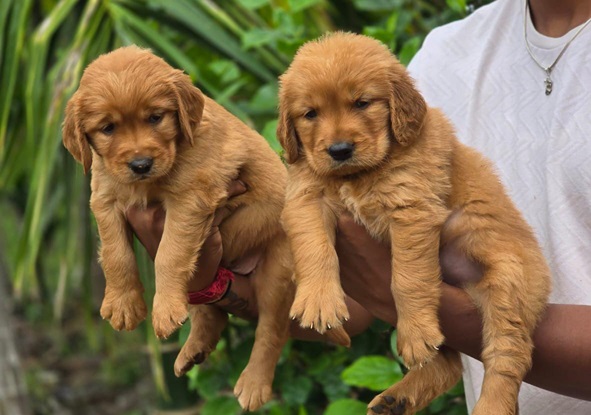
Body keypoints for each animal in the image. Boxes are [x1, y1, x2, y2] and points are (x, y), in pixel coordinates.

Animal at [63, 46, 352, 412]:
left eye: (155, 118)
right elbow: (116, 253)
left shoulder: (191, 197)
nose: (140, 164)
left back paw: (254, 383)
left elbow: (169, 254)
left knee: (272, 329)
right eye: (108, 128)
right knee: (210, 309)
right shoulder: (106, 196)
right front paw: (123, 303)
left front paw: (163, 309)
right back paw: (194, 348)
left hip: (278, 272)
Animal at [280, 33, 552, 415]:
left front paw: (416, 333)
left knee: (508, 353)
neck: (358, 175)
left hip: (509, 283)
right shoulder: (306, 197)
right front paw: (319, 301)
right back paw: (397, 398)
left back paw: (489, 403)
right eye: (310, 114)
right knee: (449, 363)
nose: (339, 150)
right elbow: (313, 247)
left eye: (362, 103)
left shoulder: (411, 210)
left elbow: (407, 280)